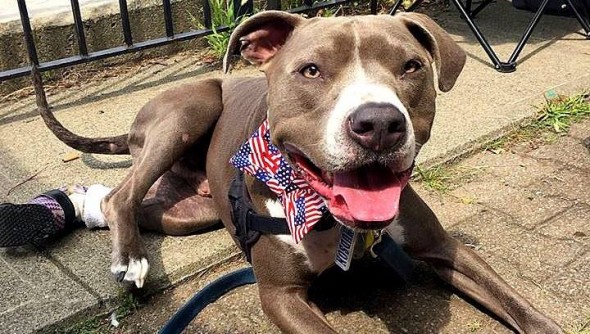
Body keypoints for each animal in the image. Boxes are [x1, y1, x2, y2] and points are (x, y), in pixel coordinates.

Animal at [37, 10, 564, 334]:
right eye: (311, 70)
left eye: (411, 66)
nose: (379, 124)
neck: (335, 221)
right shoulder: (280, 295)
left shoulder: (446, 248)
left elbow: (519, 306)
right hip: (191, 108)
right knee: (124, 194)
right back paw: (130, 257)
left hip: (188, 212)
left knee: (132, 203)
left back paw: (84, 205)